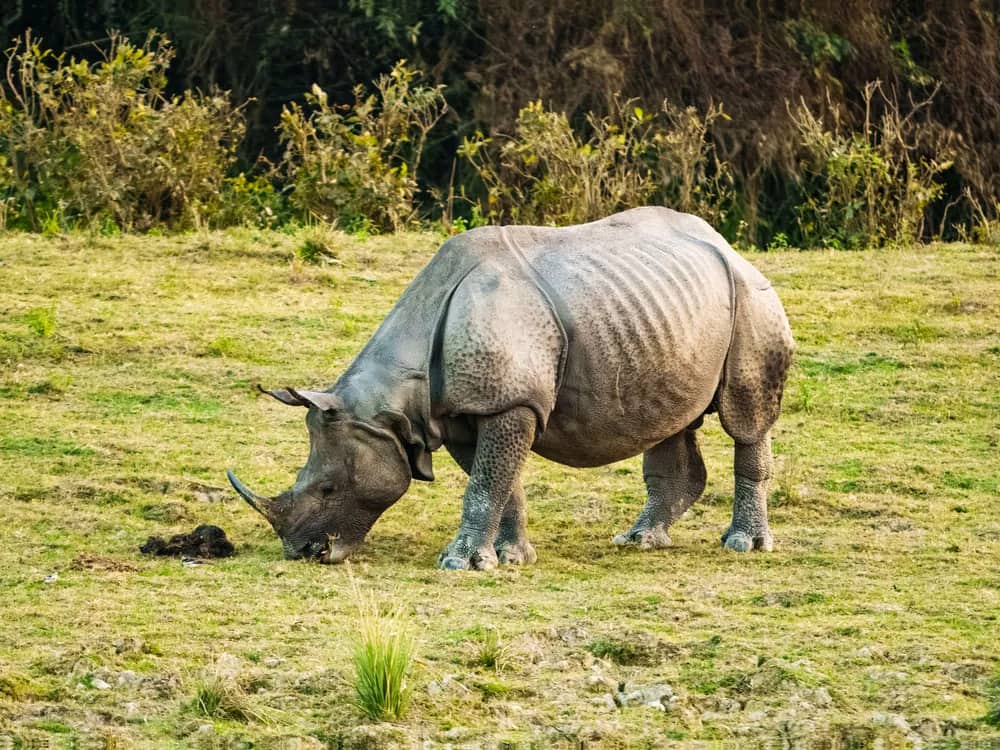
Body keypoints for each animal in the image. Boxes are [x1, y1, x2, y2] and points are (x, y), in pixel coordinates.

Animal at [228, 207, 794, 569]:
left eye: (327, 488)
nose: (305, 554)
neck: (393, 403)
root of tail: (727, 245)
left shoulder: (508, 402)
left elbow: (485, 483)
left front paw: (459, 564)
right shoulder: (460, 411)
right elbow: (501, 482)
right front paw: (509, 558)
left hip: (753, 296)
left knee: (745, 420)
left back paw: (743, 545)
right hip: (667, 309)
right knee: (671, 421)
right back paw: (639, 541)